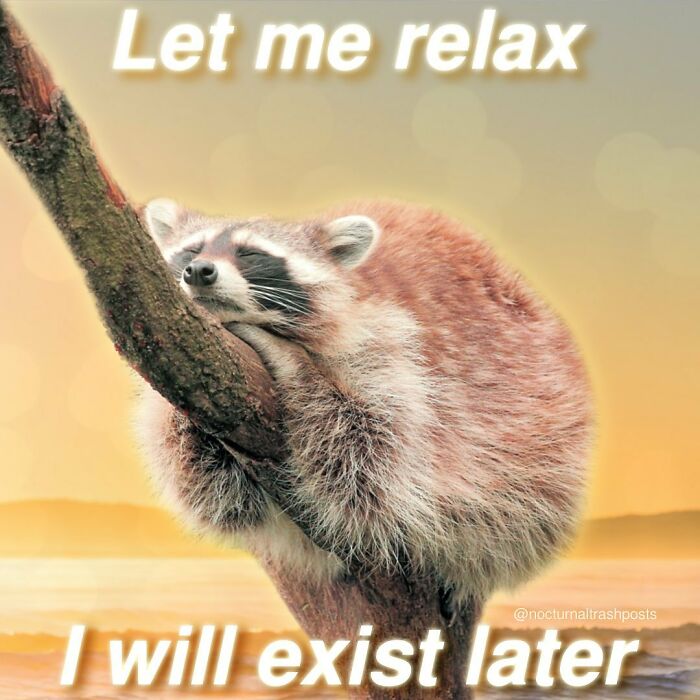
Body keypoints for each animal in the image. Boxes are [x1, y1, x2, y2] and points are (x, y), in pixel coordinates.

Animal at [135, 198, 592, 604]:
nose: (199, 271)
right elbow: (215, 495)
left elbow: (371, 459)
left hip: (546, 436)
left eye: (251, 254)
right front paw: (180, 419)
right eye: (192, 250)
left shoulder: (394, 351)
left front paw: (294, 366)